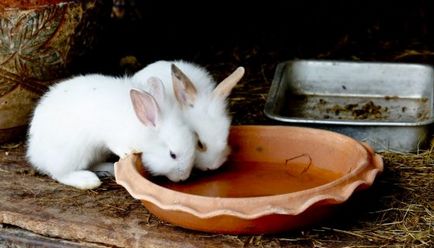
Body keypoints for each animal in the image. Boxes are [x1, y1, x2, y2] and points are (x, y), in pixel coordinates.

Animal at [26, 74, 196, 189]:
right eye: (172, 155)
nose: (184, 177)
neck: (142, 129)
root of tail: (35, 153)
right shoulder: (113, 136)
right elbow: (116, 145)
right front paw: (128, 153)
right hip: (72, 153)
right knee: (60, 173)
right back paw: (88, 181)